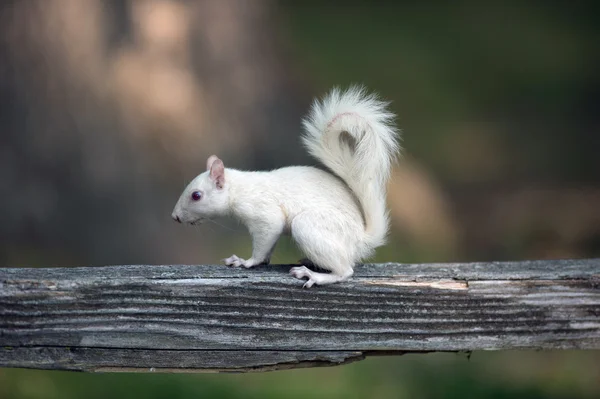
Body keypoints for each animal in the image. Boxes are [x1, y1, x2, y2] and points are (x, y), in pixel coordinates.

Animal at [171, 86, 400, 288]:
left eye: (196, 195)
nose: (175, 217)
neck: (239, 189)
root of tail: (361, 238)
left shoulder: (264, 214)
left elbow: (266, 238)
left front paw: (246, 262)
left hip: (309, 226)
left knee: (345, 270)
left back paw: (315, 276)